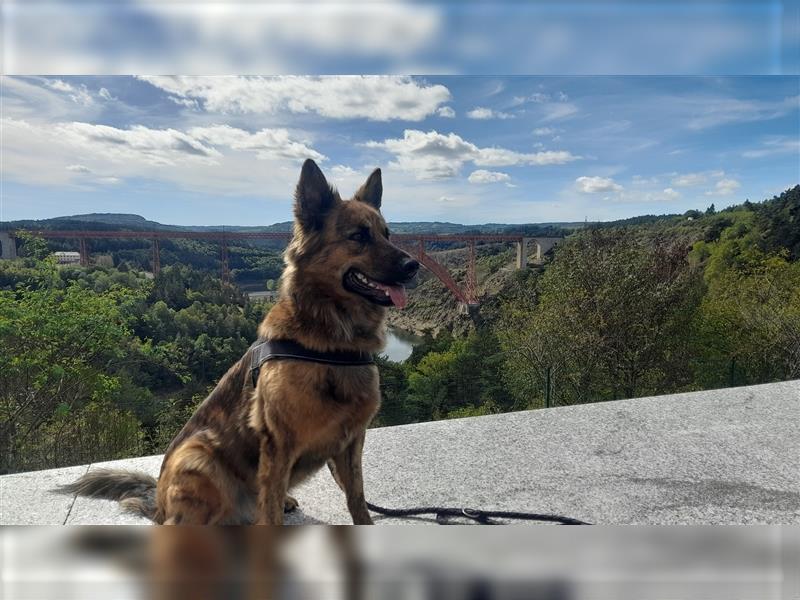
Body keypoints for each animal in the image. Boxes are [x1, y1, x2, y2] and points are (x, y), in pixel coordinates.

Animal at [60, 159, 422, 524]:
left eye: (387, 234)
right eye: (358, 236)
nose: (414, 265)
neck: (333, 342)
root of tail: (157, 505)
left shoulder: (351, 441)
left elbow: (357, 499)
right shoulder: (278, 444)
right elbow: (272, 513)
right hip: (198, 457)